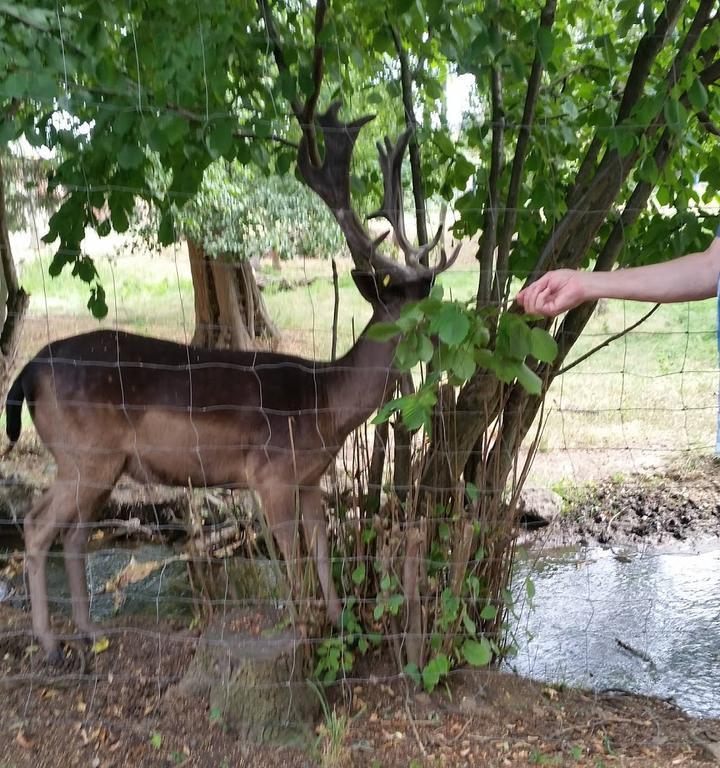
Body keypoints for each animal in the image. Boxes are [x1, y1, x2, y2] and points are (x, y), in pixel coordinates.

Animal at [5, 105, 458, 664]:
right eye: (422, 311)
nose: (459, 341)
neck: (326, 408)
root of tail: (28, 372)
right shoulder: (271, 472)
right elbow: (294, 557)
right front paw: (305, 629)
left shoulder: (310, 478)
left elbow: (322, 549)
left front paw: (339, 625)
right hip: (83, 454)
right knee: (37, 525)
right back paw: (49, 643)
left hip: (101, 465)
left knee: (73, 535)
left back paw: (89, 633)